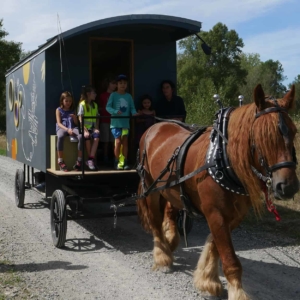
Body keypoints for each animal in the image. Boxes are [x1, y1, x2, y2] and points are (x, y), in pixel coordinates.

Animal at [137, 84, 298, 300]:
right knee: (155, 220)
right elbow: (230, 259)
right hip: (151, 188)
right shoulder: (215, 213)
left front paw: (207, 280)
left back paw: (170, 242)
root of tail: (153, 127)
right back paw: (162, 256)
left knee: (170, 211)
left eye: (294, 131)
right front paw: (236, 291)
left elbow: (214, 245)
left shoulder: (233, 215)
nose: (287, 186)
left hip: (171, 189)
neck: (224, 159)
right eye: (263, 135)